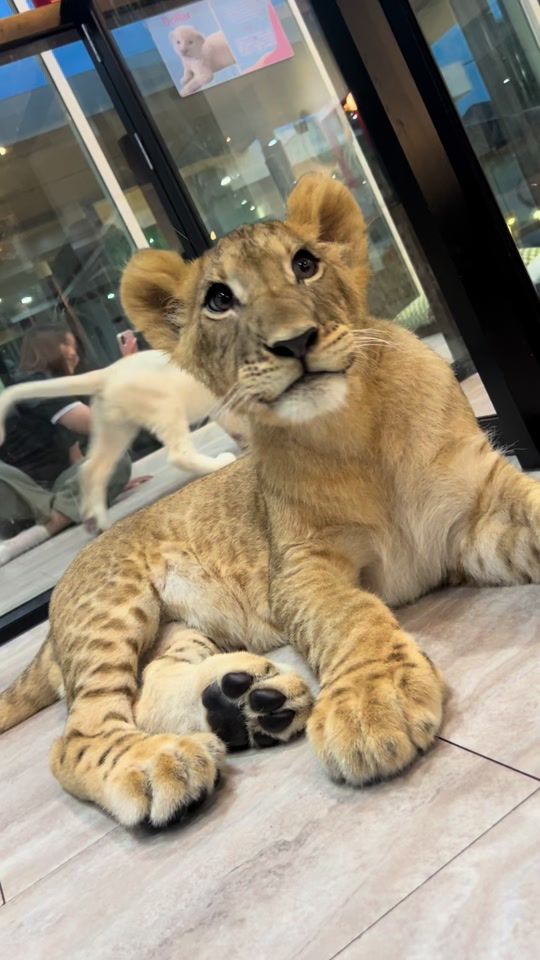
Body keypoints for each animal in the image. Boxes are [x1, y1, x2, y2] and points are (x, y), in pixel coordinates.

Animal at [1, 174, 538, 828]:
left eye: (305, 264)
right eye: (218, 299)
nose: (295, 341)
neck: (356, 430)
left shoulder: (479, 512)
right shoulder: (299, 567)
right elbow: (348, 616)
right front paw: (370, 701)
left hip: (175, 629)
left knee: (152, 683)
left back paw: (243, 704)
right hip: (111, 609)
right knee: (78, 735)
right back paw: (157, 762)